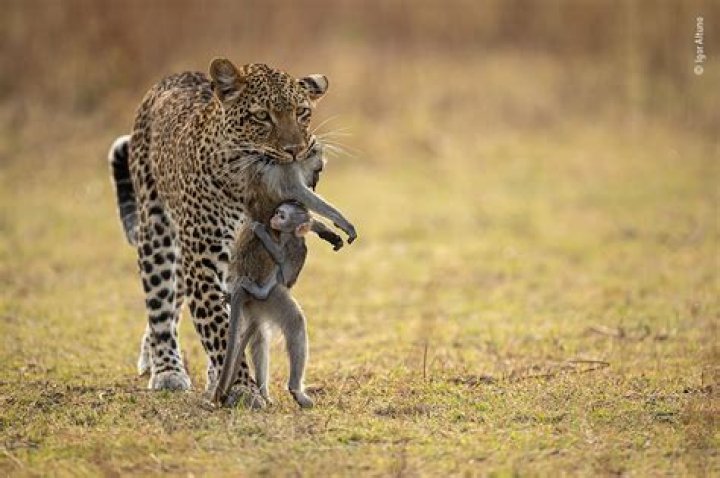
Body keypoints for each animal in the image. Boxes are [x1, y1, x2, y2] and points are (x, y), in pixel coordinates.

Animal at [212, 200, 343, 407]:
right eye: (278, 212)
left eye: (282, 216)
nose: (273, 217)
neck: (290, 235)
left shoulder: (288, 243)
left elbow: (281, 255)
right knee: (264, 335)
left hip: (271, 296)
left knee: (288, 322)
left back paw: (292, 389)